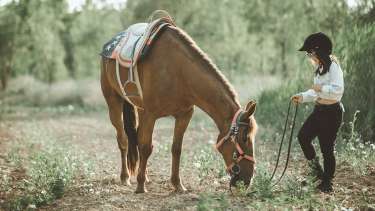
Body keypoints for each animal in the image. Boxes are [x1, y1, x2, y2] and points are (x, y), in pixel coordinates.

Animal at [100, 24, 258, 193]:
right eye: (244, 137)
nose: (247, 180)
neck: (179, 71)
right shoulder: (150, 115)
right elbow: (146, 147)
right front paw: (140, 186)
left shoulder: (184, 115)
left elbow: (176, 149)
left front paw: (177, 185)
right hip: (114, 103)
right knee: (123, 139)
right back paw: (125, 177)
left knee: (135, 138)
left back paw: (146, 176)